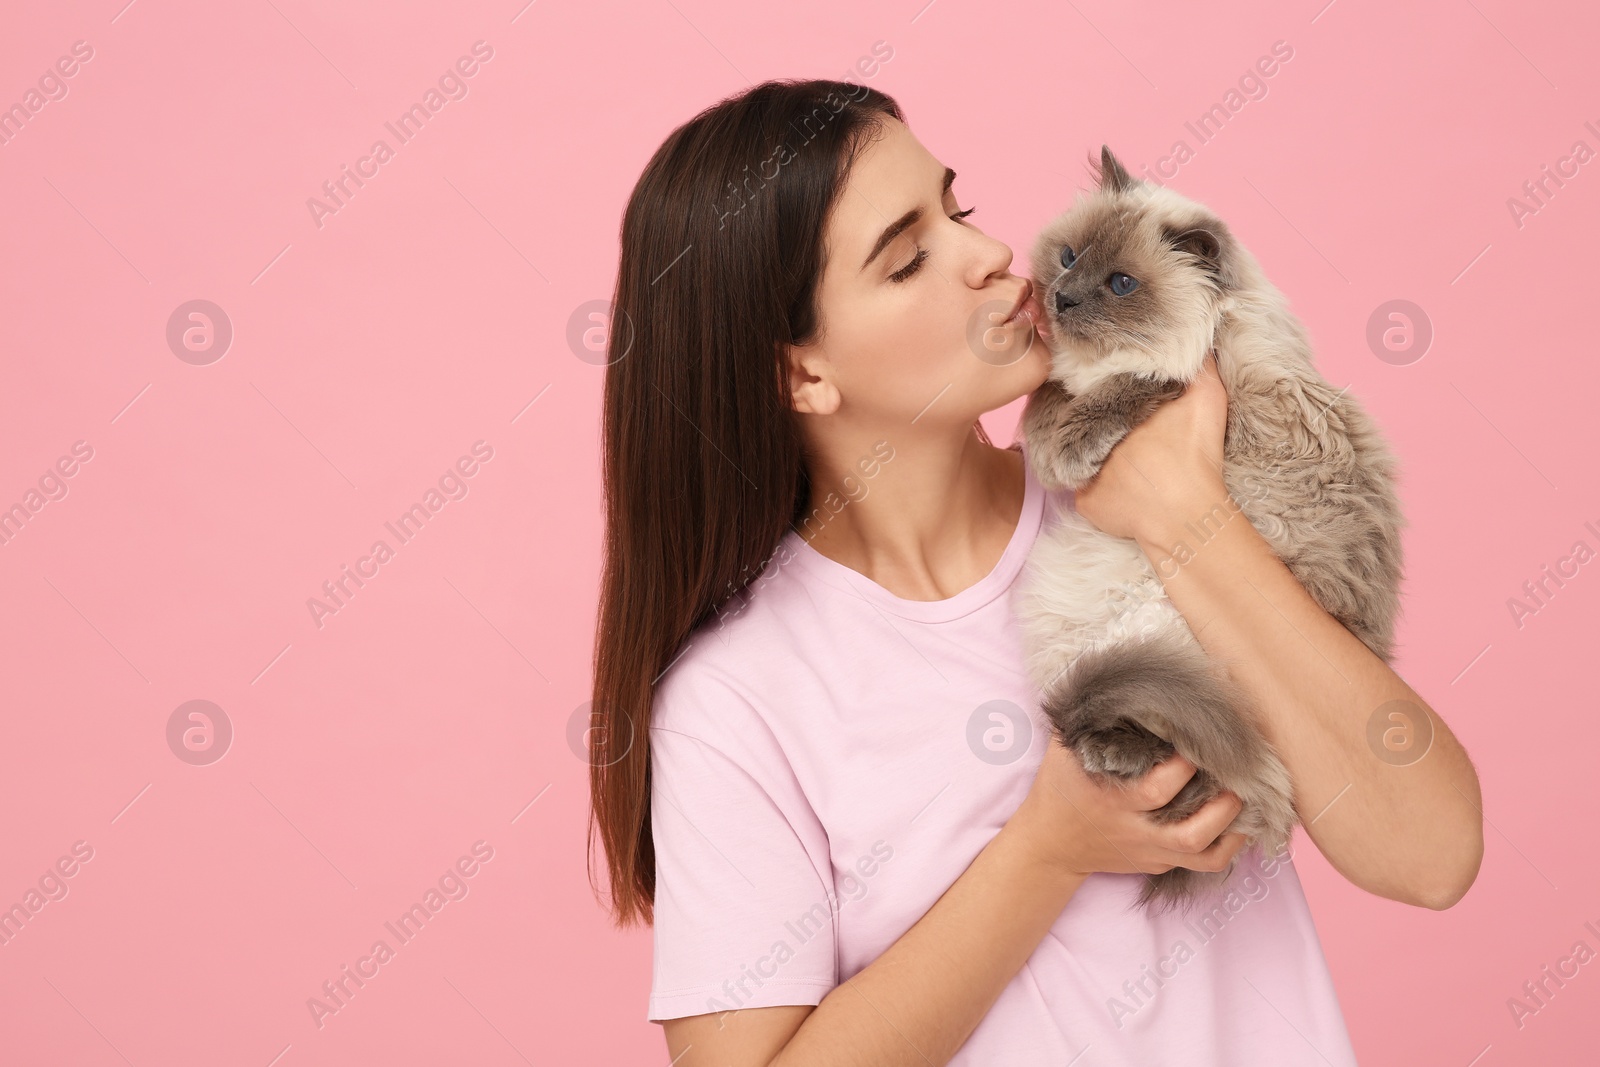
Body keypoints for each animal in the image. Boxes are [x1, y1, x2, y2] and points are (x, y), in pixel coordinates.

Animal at [1017, 146, 1408, 921]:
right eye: (1069, 258)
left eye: (1121, 284)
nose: (1063, 300)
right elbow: (1042, 404)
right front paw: (1049, 429)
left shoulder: (1187, 381)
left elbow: (1116, 393)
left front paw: (1074, 435)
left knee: (1195, 760)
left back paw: (1113, 752)